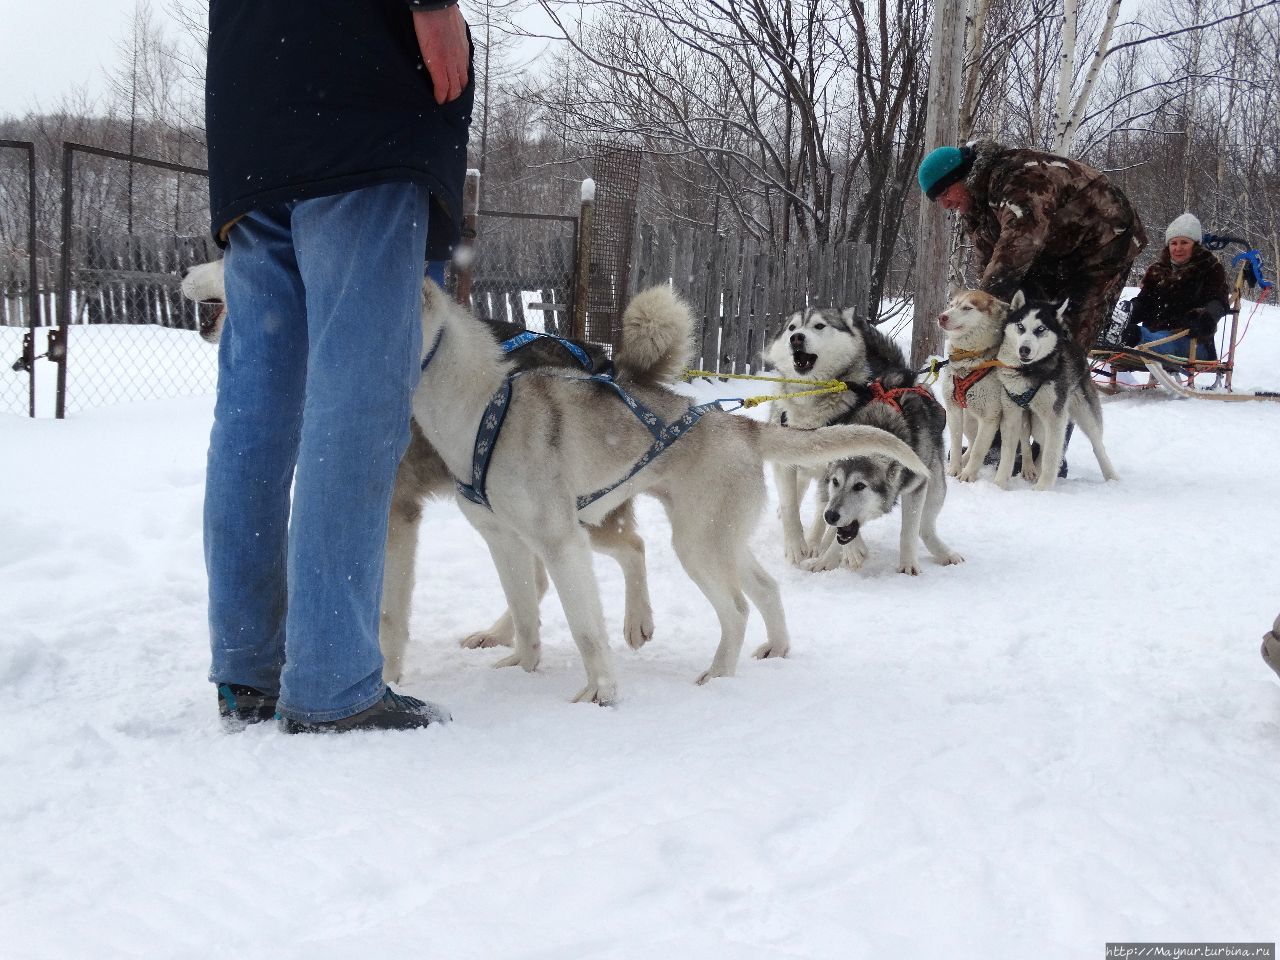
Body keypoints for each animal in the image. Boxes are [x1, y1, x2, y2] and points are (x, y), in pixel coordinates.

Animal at [176, 261, 655, 686]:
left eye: (227, 257)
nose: (183, 271)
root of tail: (593, 360)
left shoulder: (397, 512)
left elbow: (388, 611)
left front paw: (385, 676)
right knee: (537, 577)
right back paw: (501, 637)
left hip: (560, 512)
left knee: (631, 545)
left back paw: (635, 622)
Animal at [757, 305, 911, 563]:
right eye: (792, 327)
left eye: (819, 326)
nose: (796, 338)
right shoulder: (785, 460)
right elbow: (790, 506)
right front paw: (796, 547)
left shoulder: (835, 468)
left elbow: (828, 511)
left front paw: (820, 546)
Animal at [993, 291, 1116, 488]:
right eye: (1020, 326)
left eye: (1040, 329)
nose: (1024, 349)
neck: (1029, 370)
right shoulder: (1012, 413)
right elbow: (1008, 453)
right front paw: (998, 485)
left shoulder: (1055, 416)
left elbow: (1051, 456)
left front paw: (1043, 489)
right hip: (1036, 423)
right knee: (1040, 444)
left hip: (1082, 414)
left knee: (1096, 445)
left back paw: (1112, 477)